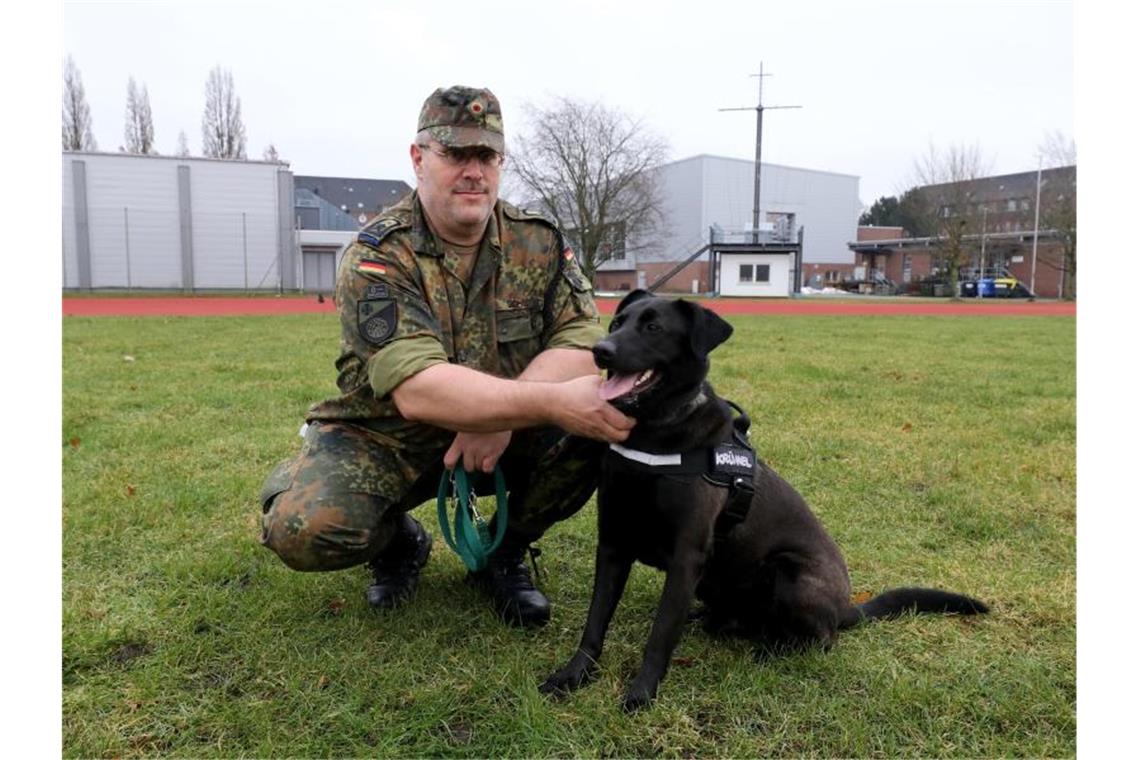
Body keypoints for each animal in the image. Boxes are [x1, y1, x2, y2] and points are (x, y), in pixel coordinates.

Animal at [535, 289, 989, 715]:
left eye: (653, 327)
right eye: (617, 322)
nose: (600, 351)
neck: (653, 434)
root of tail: (846, 608)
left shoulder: (686, 556)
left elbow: (660, 634)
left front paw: (642, 693)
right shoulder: (613, 544)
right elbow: (595, 622)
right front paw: (573, 675)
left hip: (788, 573)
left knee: (821, 640)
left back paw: (772, 649)